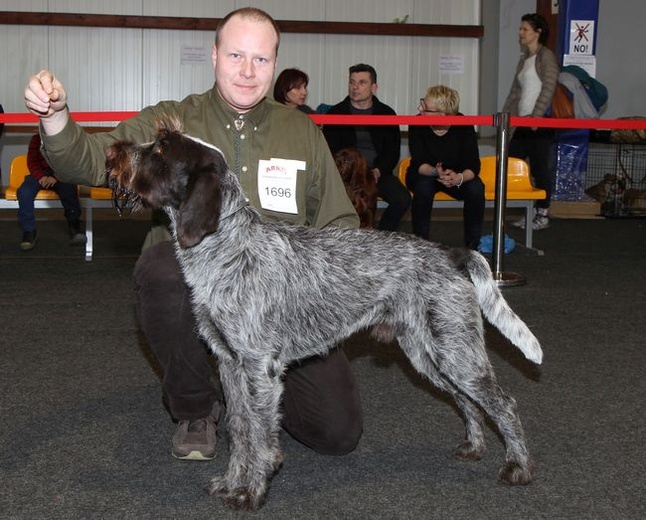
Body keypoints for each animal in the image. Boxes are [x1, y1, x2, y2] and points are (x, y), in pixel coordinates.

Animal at [107, 121, 548, 512]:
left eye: (161, 149)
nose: (114, 150)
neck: (228, 249)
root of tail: (450, 253)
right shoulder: (230, 364)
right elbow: (239, 430)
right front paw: (232, 483)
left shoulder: (259, 368)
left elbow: (259, 436)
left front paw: (251, 492)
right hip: (429, 355)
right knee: (467, 401)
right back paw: (474, 447)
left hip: (456, 352)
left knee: (503, 403)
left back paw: (518, 467)